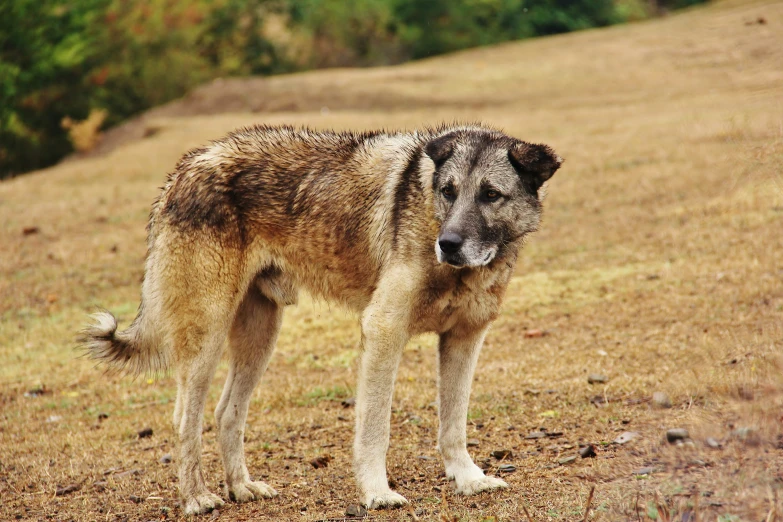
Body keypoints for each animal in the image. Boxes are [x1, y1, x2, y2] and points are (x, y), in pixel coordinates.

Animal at [79, 124, 560, 512]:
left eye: (490, 194)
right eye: (448, 191)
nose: (449, 244)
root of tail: (185, 167)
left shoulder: (464, 340)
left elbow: (453, 426)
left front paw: (468, 479)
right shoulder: (383, 331)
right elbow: (375, 429)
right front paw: (376, 493)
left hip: (259, 339)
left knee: (226, 413)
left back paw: (241, 488)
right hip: (206, 341)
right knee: (185, 419)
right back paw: (196, 498)